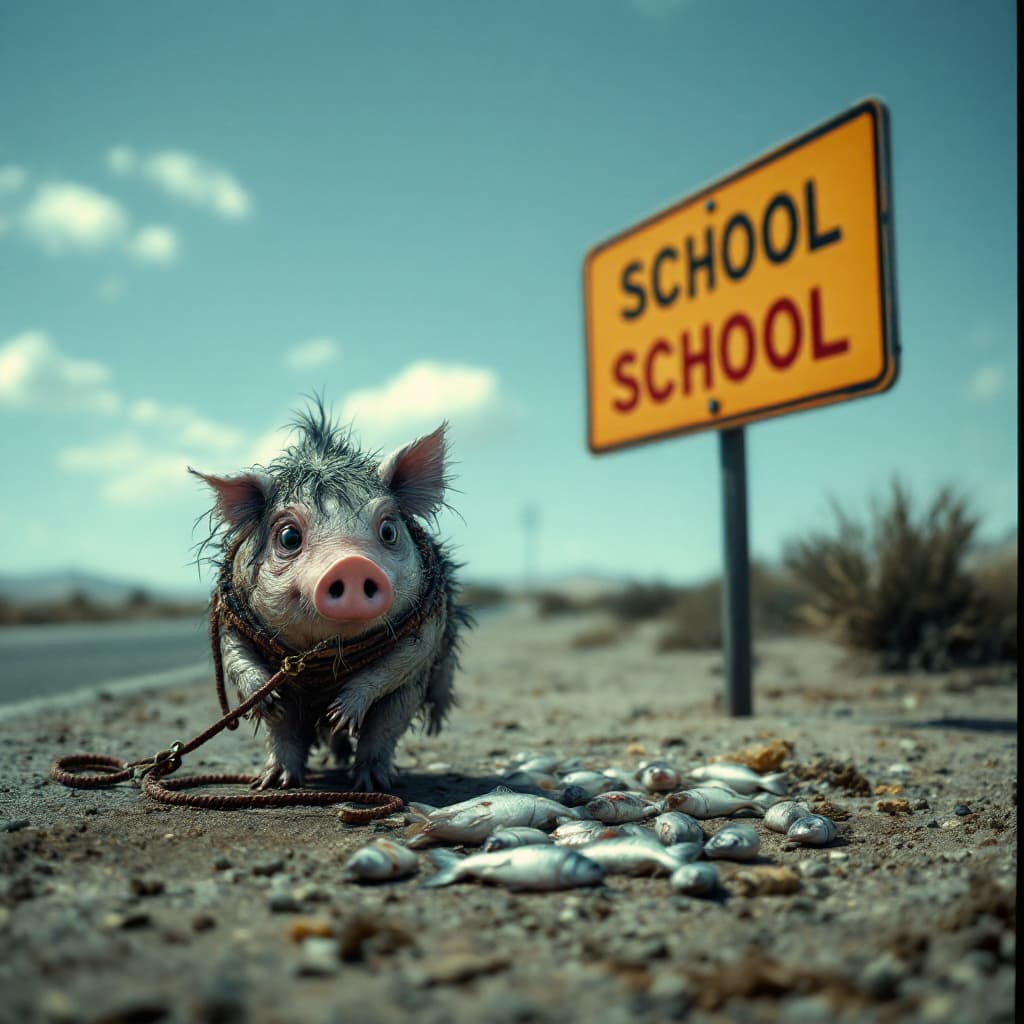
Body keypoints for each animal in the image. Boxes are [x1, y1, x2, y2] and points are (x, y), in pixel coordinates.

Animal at [191, 401, 470, 792]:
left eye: (388, 530)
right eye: (289, 537)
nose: (352, 564)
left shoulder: (429, 622)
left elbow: (398, 666)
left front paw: (344, 717)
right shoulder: (231, 617)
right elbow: (236, 658)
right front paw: (267, 707)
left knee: (387, 723)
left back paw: (367, 780)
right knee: (286, 729)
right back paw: (279, 779)